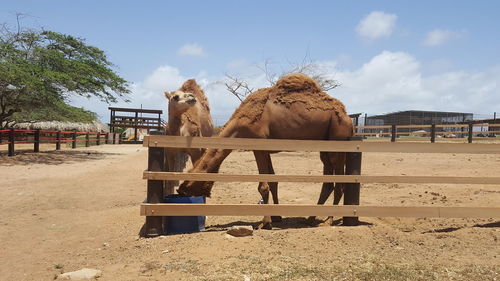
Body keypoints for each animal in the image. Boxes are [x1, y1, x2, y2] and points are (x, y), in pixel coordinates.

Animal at [178, 73, 354, 229]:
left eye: (188, 183)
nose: (179, 191)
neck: (241, 122)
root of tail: (348, 117)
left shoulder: (259, 146)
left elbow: (263, 186)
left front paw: (265, 223)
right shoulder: (267, 149)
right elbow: (273, 181)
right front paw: (276, 217)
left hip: (338, 137)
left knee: (340, 183)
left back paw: (328, 221)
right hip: (325, 145)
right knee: (328, 183)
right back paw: (311, 218)